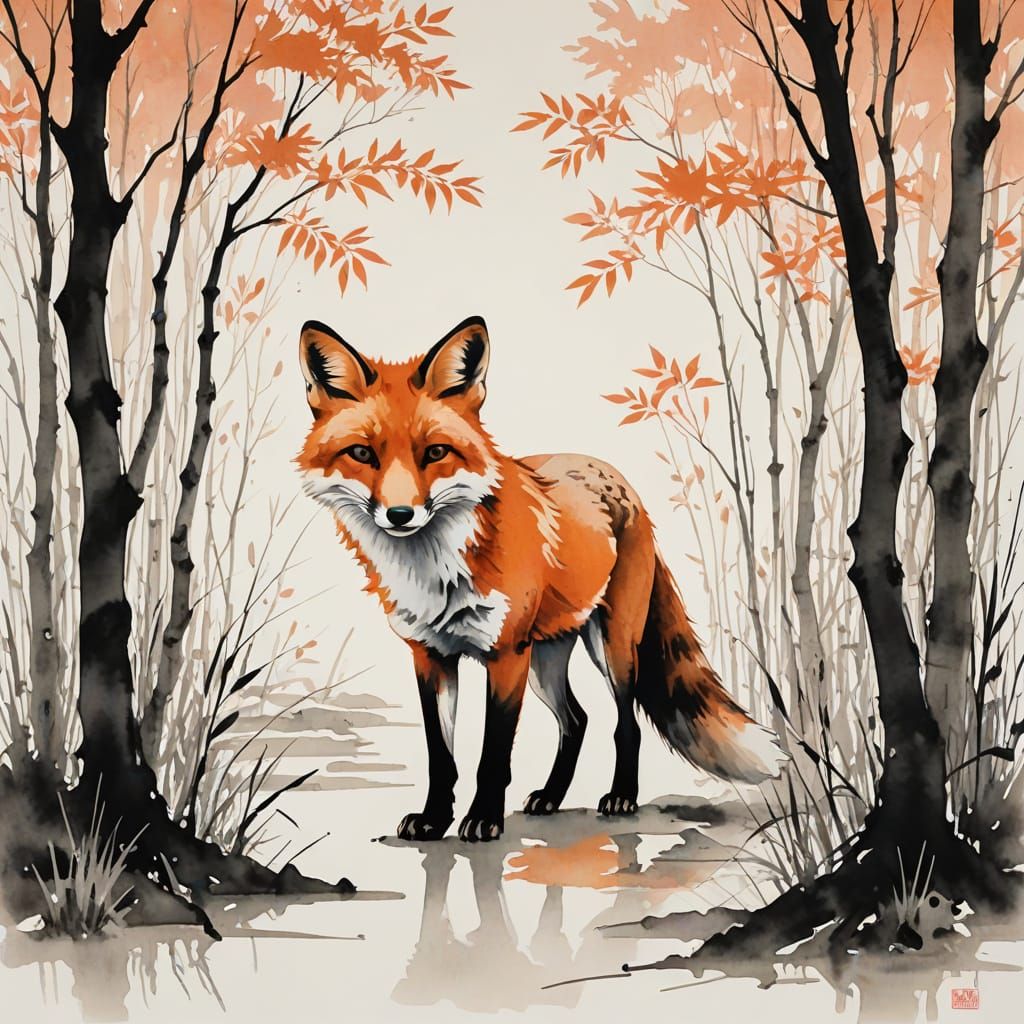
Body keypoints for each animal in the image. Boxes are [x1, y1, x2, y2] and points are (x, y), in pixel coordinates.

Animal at [297, 315, 786, 843]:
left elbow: (492, 755)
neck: (436, 572)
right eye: (362, 453)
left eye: (436, 452)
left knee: (625, 724)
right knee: (577, 720)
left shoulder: (506, 655)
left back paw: (621, 797)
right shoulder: (430, 657)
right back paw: (551, 797)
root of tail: (616, 478)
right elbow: (440, 757)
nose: (400, 515)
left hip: (611, 647)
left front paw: (483, 818)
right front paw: (433, 819)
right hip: (547, 659)